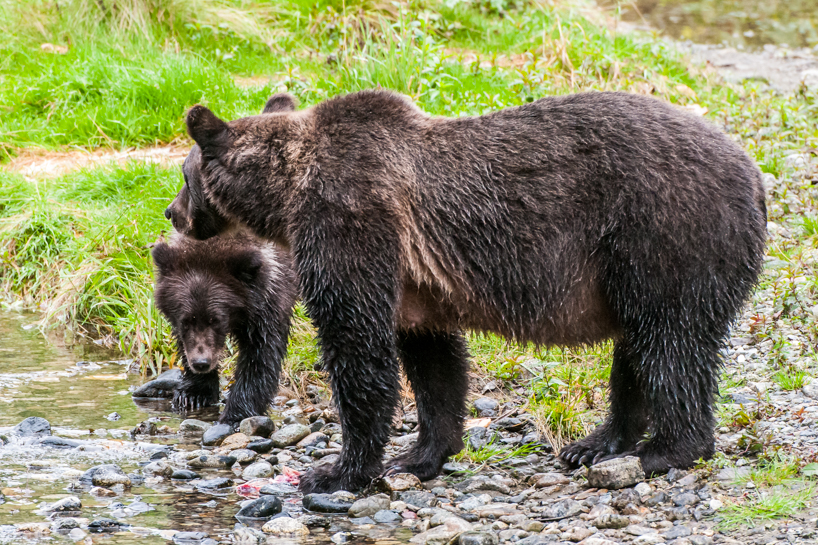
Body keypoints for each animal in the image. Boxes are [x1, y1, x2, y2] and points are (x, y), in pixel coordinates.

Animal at [150, 227, 297, 424]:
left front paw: (236, 413)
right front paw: (193, 394)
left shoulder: (269, 298)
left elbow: (260, 355)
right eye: (186, 321)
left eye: (216, 319)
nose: (201, 363)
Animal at [174, 89, 767, 493]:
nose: (171, 213)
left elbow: (356, 344)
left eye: (184, 173)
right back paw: (595, 444)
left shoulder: (349, 219)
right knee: (639, 348)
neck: (286, 193)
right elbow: (433, 362)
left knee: (671, 342)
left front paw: (338, 470)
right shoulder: (417, 284)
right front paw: (419, 455)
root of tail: (755, 175)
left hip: (663, 232)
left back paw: (665, 451)